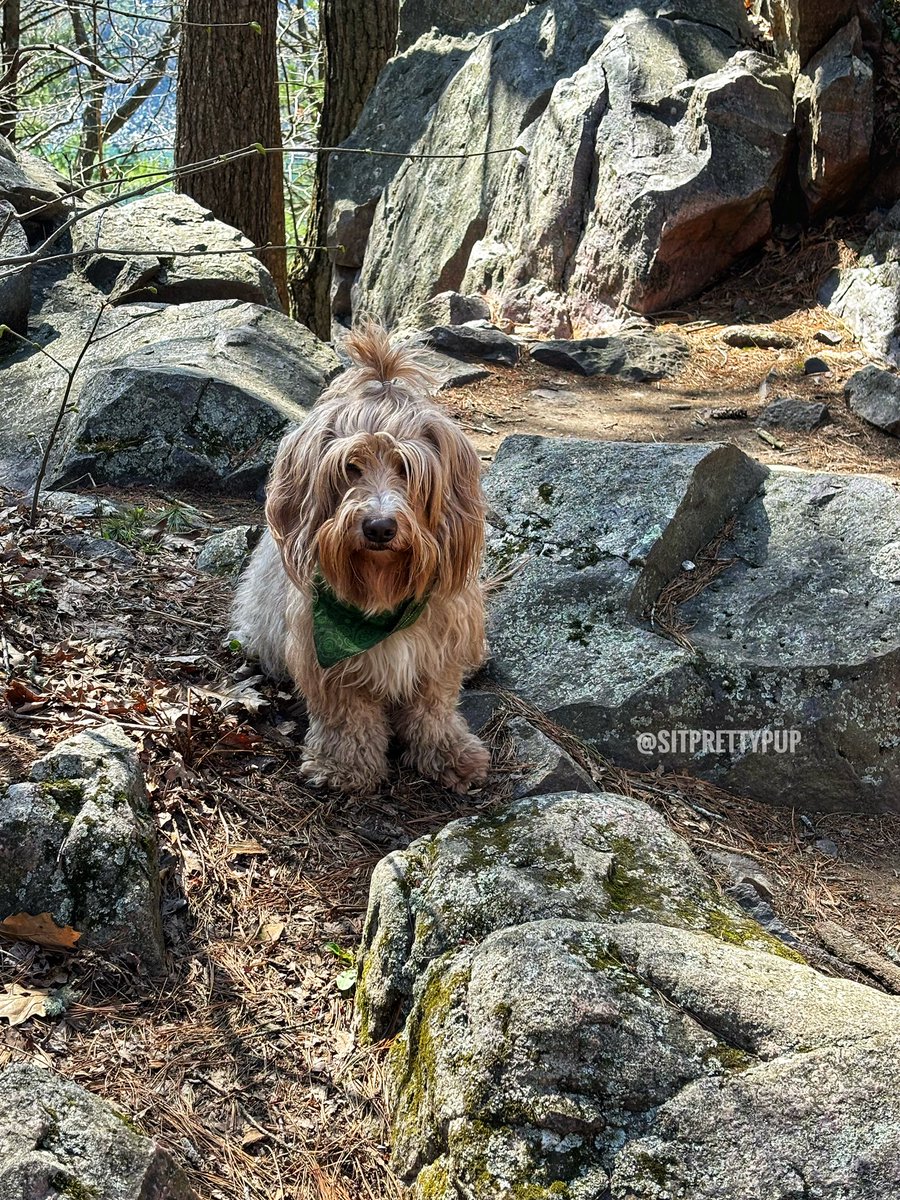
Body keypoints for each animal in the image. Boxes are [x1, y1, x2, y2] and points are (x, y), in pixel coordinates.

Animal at [229, 324, 489, 792]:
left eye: (407, 469)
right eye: (350, 466)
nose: (380, 527)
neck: (382, 595)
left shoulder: (439, 653)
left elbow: (434, 709)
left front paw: (449, 753)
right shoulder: (330, 663)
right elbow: (347, 717)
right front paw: (344, 764)